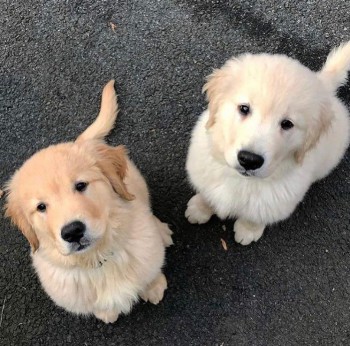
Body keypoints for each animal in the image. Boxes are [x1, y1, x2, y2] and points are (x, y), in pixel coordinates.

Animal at [6, 79, 173, 324]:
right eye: (41, 207)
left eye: (81, 185)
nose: (72, 232)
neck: (99, 259)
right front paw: (107, 313)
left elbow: (150, 271)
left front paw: (154, 286)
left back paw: (161, 231)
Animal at [186, 42, 350, 246]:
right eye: (244, 108)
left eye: (287, 124)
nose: (249, 160)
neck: (242, 180)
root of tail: (323, 83)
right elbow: (207, 194)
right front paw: (200, 208)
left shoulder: (278, 201)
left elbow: (256, 216)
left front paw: (248, 230)